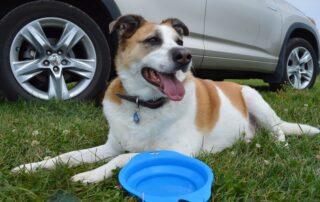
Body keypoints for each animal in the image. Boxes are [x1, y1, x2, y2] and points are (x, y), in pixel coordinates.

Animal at [12, 15, 320, 184]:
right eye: (152, 40)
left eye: (180, 42)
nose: (185, 57)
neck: (142, 105)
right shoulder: (110, 145)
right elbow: (67, 156)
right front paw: (30, 167)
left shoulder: (179, 149)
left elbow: (127, 157)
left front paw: (90, 175)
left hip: (252, 96)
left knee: (279, 132)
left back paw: (281, 148)